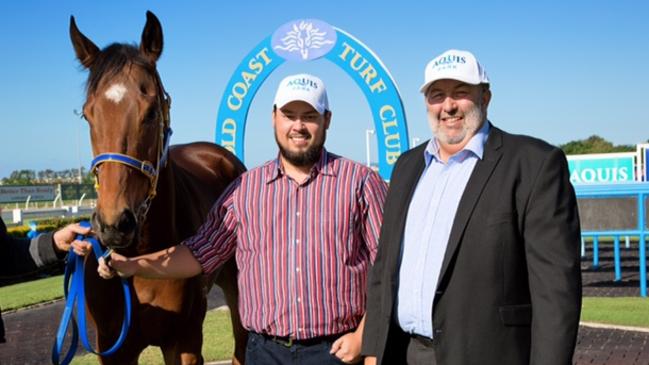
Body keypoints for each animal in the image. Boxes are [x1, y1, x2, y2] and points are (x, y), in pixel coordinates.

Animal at [70, 11, 248, 364]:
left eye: (151, 112)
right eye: (88, 114)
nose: (114, 224)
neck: (142, 258)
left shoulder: (184, 341)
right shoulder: (113, 349)